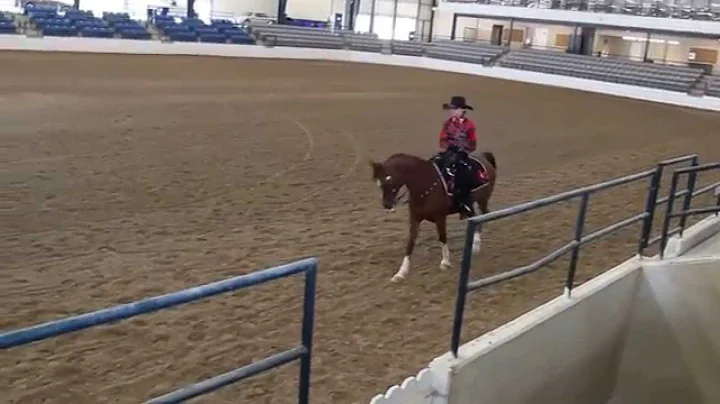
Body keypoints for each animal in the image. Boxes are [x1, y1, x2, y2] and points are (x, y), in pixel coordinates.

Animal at [372, 151, 496, 280]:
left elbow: (442, 237)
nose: (387, 205)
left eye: (389, 180)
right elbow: (411, 242)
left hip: (482, 201)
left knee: (482, 217)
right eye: (379, 183)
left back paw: (476, 246)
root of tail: (484, 157)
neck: (424, 185)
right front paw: (401, 272)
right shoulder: (415, 219)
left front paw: (445, 262)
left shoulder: (440, 217)